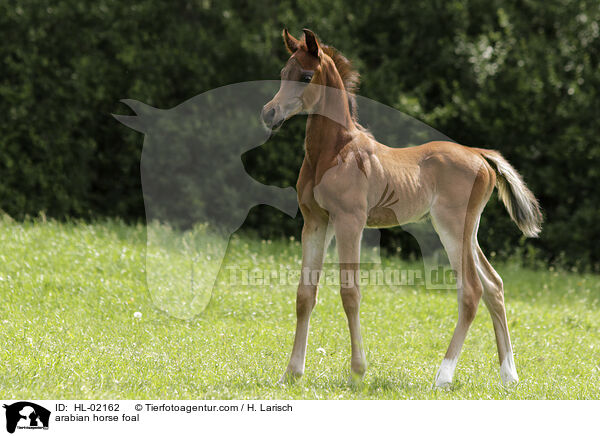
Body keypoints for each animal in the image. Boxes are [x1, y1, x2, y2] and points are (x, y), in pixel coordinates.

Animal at [260, 29, 540, 386]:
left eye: (307, 76)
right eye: (283, 73)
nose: (269, 113)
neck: (334, 151)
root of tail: (479, 155)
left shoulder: (350, 221)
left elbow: (350, 294)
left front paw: (357, 371)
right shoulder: (315, 221)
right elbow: (304, 294)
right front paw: (292, 373)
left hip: (451, 226)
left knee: (471, 291)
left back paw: (443, 376)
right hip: (470, 230)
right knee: (494, 285)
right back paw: (509, 375)